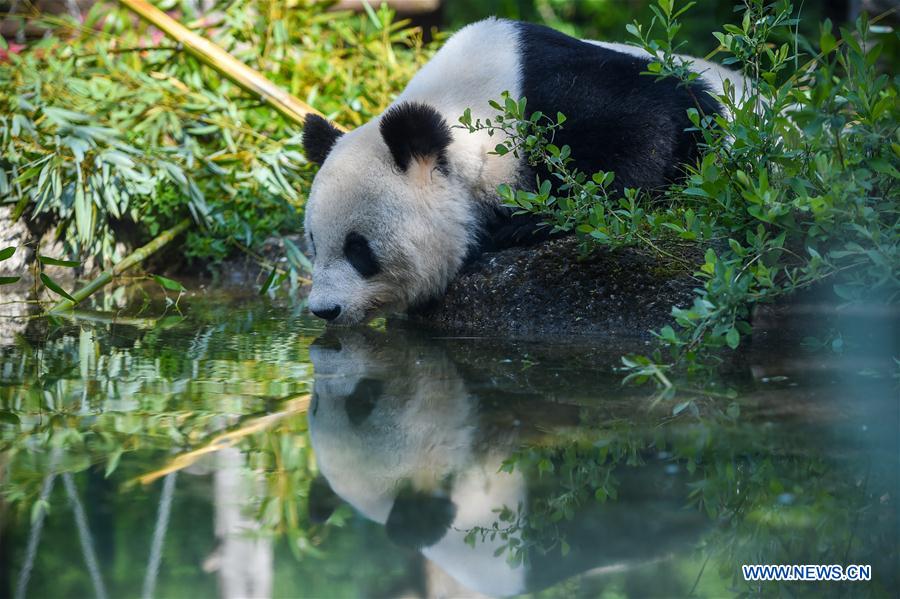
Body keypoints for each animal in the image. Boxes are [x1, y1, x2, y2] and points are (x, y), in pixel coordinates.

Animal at [298, 18, 740, 324]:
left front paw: (526, 225)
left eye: (359, 248)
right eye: (314, 243)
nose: (324, 310)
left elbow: (648, 131)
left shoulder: (558, 97)